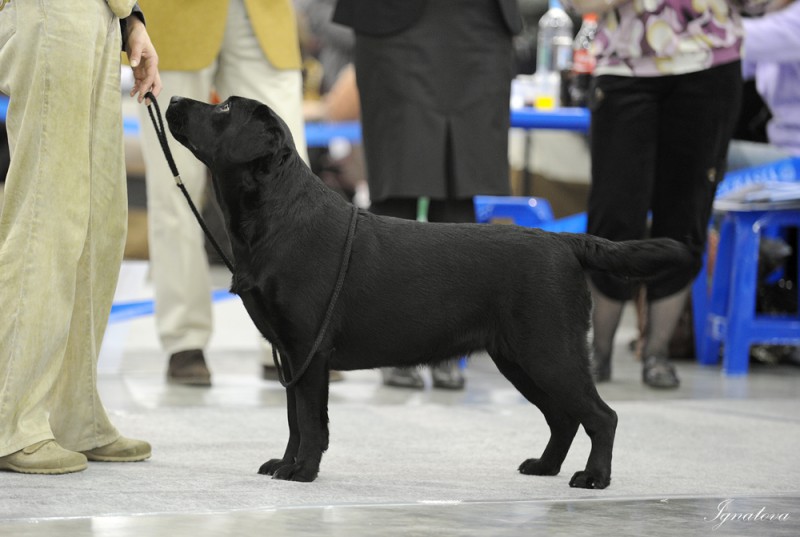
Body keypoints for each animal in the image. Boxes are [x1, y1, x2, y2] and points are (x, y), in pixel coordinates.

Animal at [165, 95, 693, 489]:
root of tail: (565, 240)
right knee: (563, 418)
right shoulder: (291, 354)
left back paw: (594, 477)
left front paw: (302, 471)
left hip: (551, 352)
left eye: (224, 109)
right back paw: (545, 467)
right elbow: (296, 419)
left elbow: (311, 421)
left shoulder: (309, 351)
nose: (170, 99)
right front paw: (285, 463)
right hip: (519, 359)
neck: (276, 218)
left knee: (602, 416)